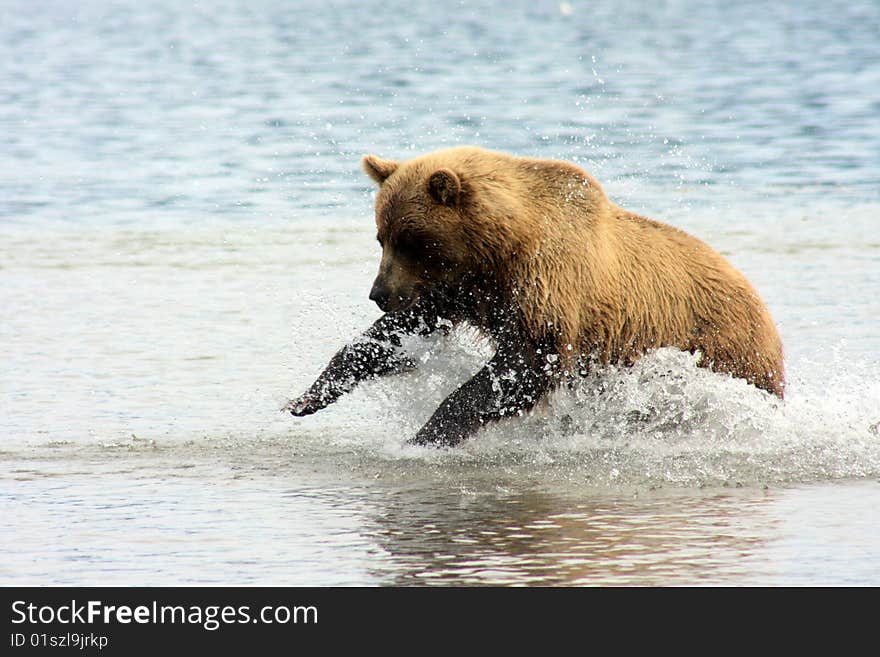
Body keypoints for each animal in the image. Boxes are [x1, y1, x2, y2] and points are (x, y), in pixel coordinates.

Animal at [284, 147, 784, 446]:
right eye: (381, 237)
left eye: (414, 242)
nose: (379, 294)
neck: (500, 250)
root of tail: (766, 313)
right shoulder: (458, 291)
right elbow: (394, 336)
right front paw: (305, 398)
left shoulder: (548, 285)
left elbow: (524, 366)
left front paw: (425, 434)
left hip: (722, 351)